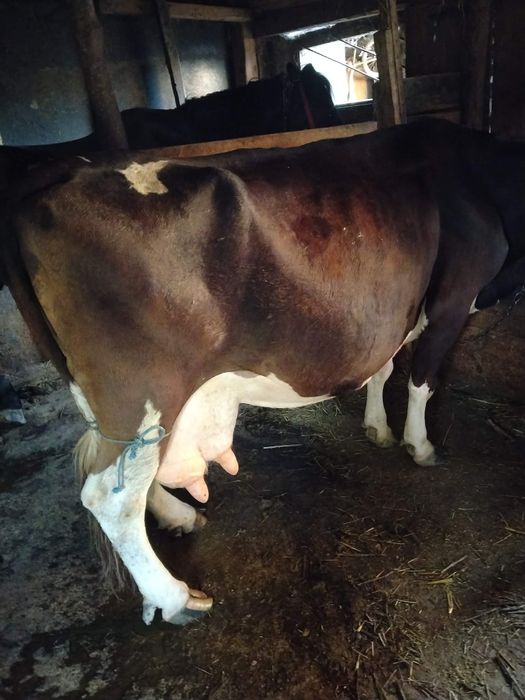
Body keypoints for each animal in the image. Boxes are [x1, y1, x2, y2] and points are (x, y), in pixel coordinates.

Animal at [0, 119, 521, 625]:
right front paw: (421, 445)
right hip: (140, 388)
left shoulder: (396, 313)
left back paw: (178, 515)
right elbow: (421, 380)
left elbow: (384, 367)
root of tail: (64, 173)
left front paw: (378, 427)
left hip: (104, 395)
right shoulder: (453, 299)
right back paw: (175, 598)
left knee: (130, 472)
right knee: (110, 495)